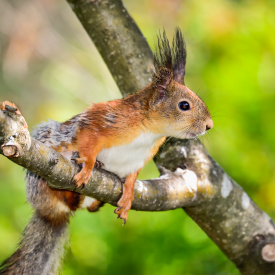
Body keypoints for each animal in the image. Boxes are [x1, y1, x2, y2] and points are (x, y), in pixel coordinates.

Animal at [0, 29, 213, 274]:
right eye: (184, 105)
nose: (209, 125)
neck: (150, 132)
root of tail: (50, 213)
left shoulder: (140, 158)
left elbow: (132, 177)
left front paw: (128, 196)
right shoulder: (99, 121)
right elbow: (88, 144)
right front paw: (89, 167)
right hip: (42, 170)